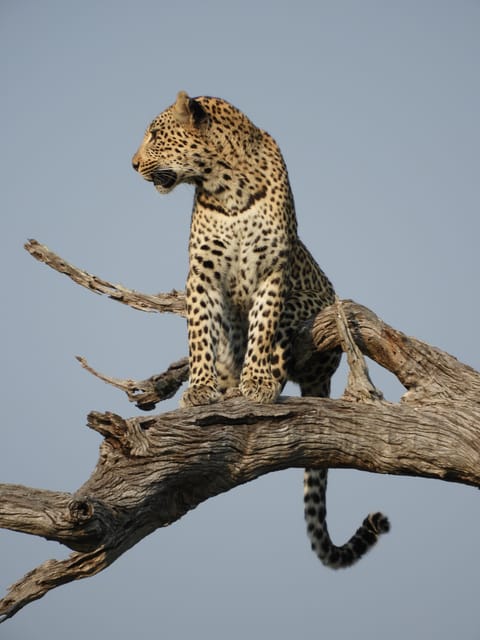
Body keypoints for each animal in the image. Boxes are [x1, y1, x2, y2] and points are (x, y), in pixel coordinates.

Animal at [132, 91, 389, 569]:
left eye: (156, 134)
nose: (133, 163)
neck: (224, 185)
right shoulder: (202, 274)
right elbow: (199, 333)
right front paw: (201, 388)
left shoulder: (273, 270)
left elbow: (263, 326)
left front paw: (257, 383)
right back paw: (229, 386)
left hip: (315, 303)